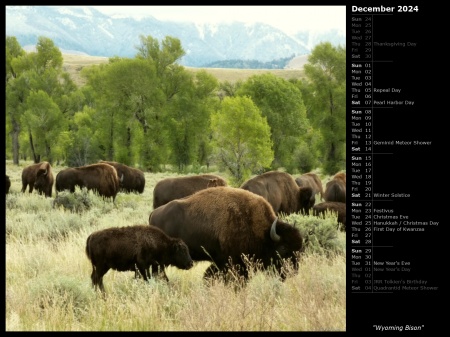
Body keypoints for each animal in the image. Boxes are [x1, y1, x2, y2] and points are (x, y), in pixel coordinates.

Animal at [149, 185, 304, 282]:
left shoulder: (222, 261)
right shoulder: (233, 262)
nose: (293, 271)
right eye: (283, 248)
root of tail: (154, 214)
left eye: (300, 248)